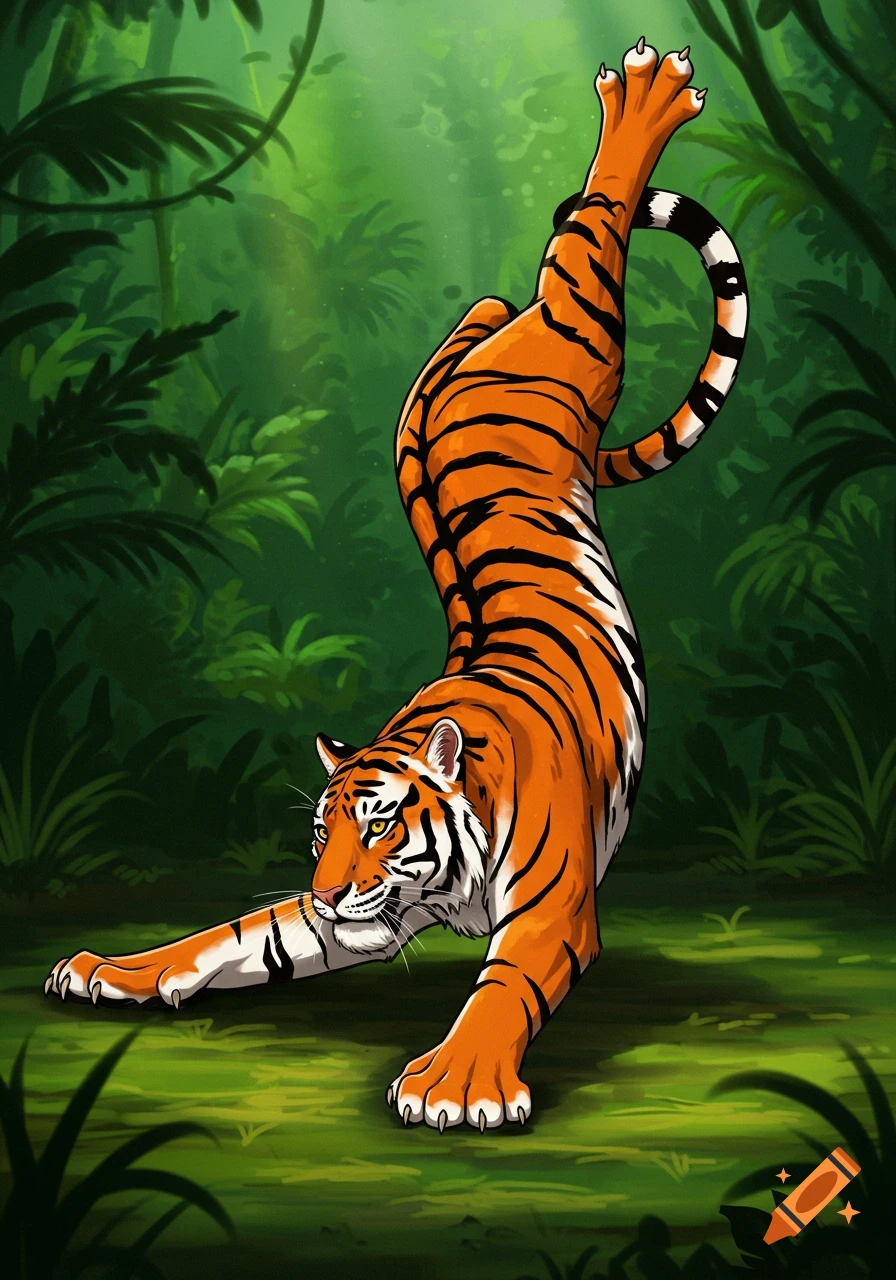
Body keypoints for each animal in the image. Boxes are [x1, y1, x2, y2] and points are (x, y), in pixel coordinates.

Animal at [44, 40, 748, 1132]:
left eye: (379, 825)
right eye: (322, 833)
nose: (336, 891)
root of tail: (492, 345)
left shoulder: (551, 910)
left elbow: (501, 986)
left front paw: (456, 1083)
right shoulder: (337, 914)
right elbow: (228, 933)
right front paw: (110, 968)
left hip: (577, 328)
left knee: (585, 237)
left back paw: (642, 97)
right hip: (459, 360)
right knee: (510, 290)